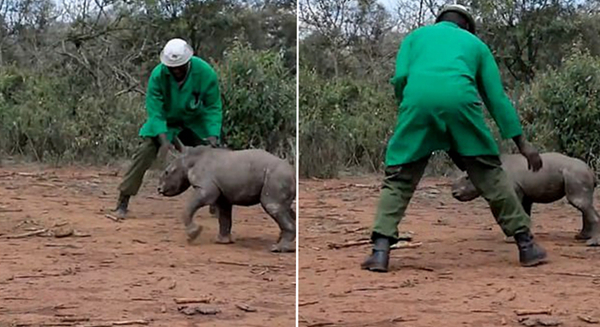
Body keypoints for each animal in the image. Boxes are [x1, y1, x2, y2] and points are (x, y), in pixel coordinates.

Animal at [156, 147, 294, 254]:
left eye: (167, 172)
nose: (159, 189)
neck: (188, 161)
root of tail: (292, 171)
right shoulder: (223, 195)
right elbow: (224, 216)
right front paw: (221, 242)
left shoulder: (206, 190)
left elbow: (190, 206)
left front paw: (193, 234)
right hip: (278, 177)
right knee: (285, 208)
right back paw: (283, 244)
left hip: (277, 176)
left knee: (272, 206)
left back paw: (278, 248)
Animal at [452, 152, 596, 247]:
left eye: (467, 178)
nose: (454, 193)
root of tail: (590, 170)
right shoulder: (524, 194)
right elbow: (524, 212)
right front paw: (526, 235)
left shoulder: (513, 191)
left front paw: (510, 240)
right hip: (577, 174)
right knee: (584, 204)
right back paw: (582, 237)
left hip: (576, 174)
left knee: (578, 202)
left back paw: (591, 243)